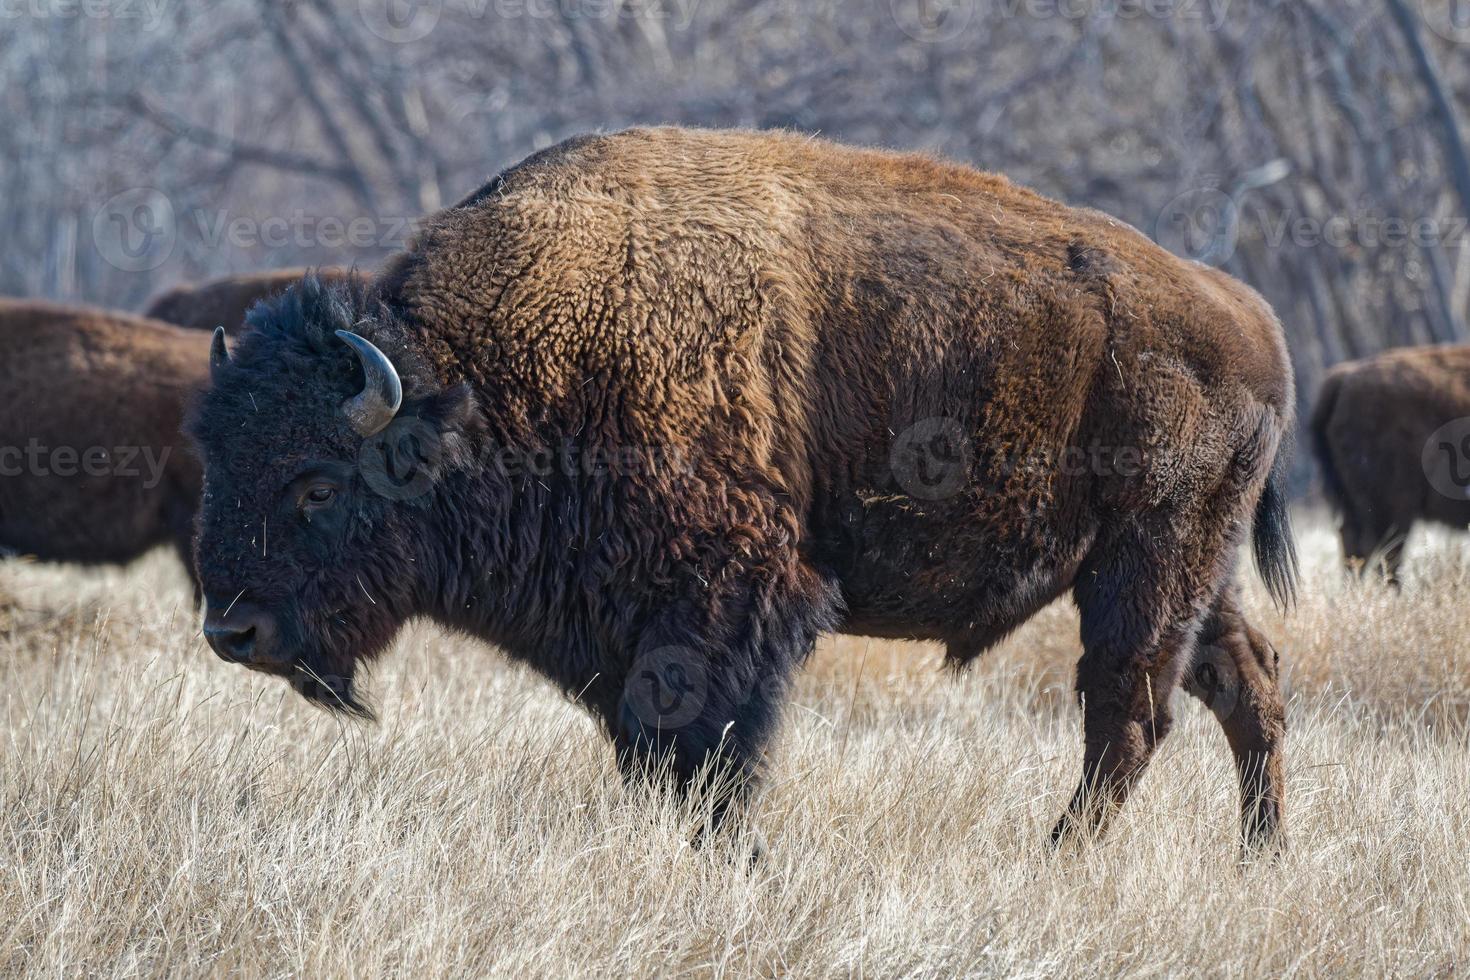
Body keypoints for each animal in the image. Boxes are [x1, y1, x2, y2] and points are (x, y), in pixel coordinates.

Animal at [186, 126, 1299, 852]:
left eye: (316, 486)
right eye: (216, 460)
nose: (232, 631)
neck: (487, 381)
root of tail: (1247, 314)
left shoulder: (727, 604)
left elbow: (705, 747)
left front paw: (736, 856)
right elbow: (651, 748)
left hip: (1147, 557)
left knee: (1130, 710)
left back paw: (1061, 853)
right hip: (1195, 568)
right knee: (1245, 683)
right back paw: (1260, 852)